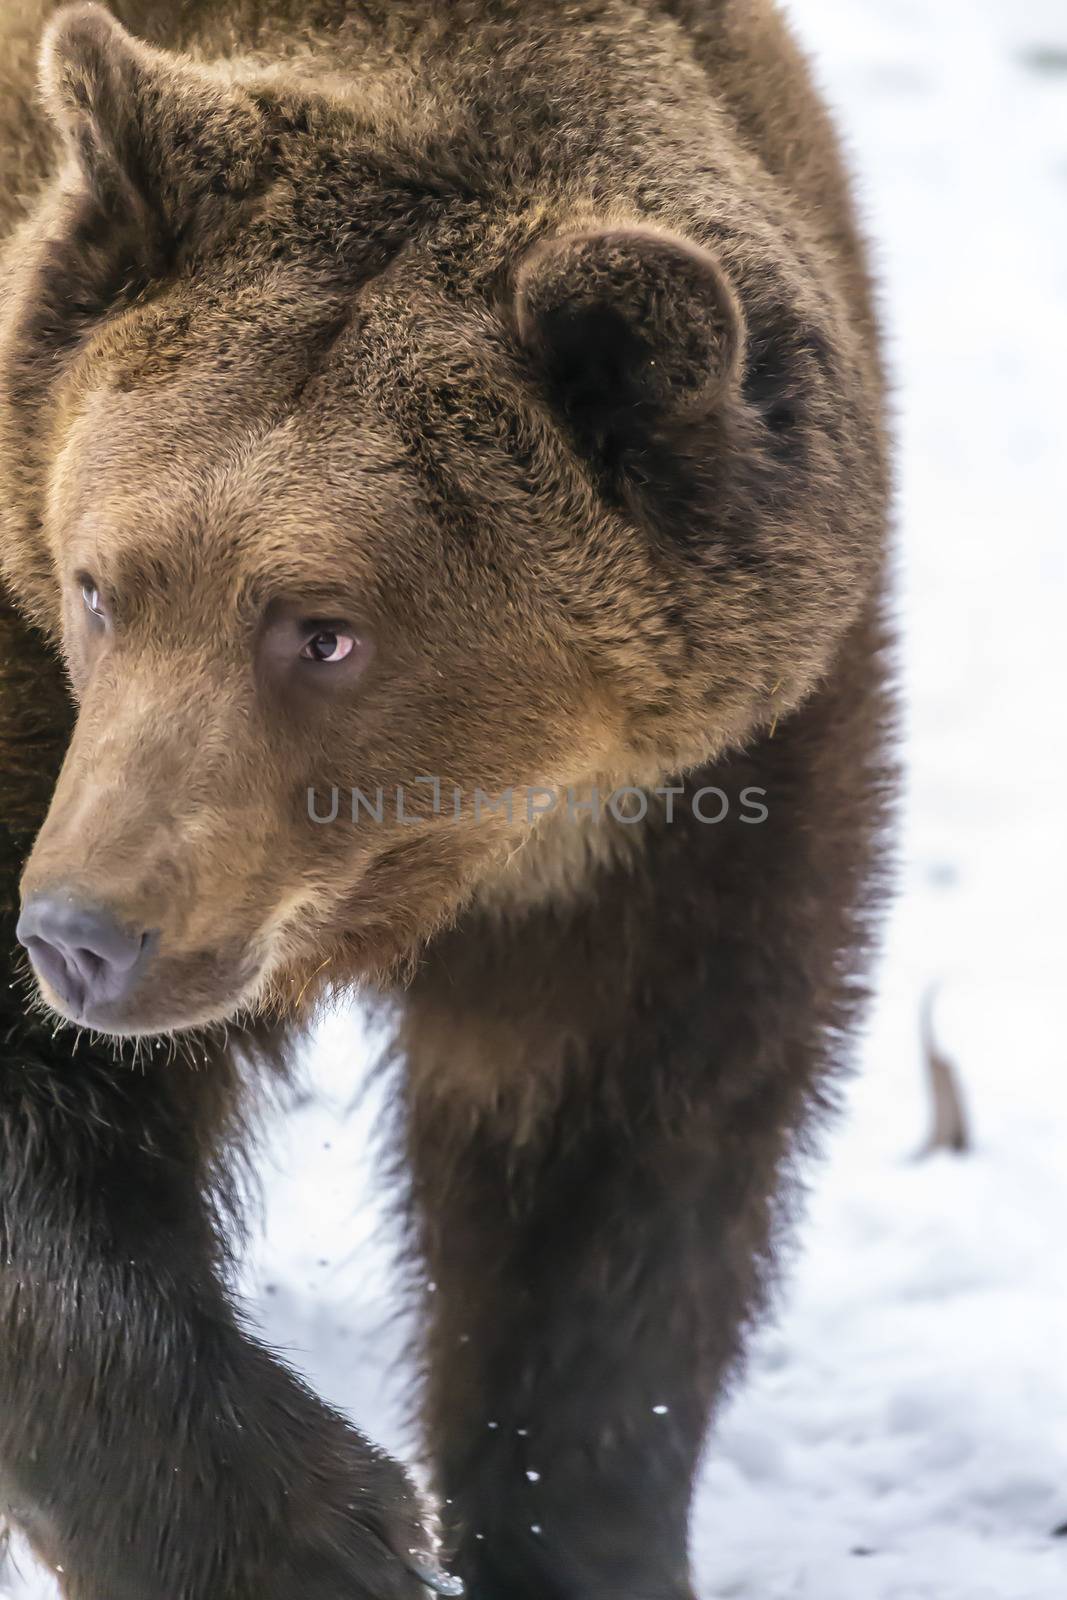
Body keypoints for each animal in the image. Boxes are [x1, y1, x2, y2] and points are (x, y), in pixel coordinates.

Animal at [0, 0, 895, 1593]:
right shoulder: (37, 689)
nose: (82, 937)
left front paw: (567, 1531)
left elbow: (610, 1173)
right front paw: (316, 1529)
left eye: (323, 630)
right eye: (99, 582)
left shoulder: (695, 807)